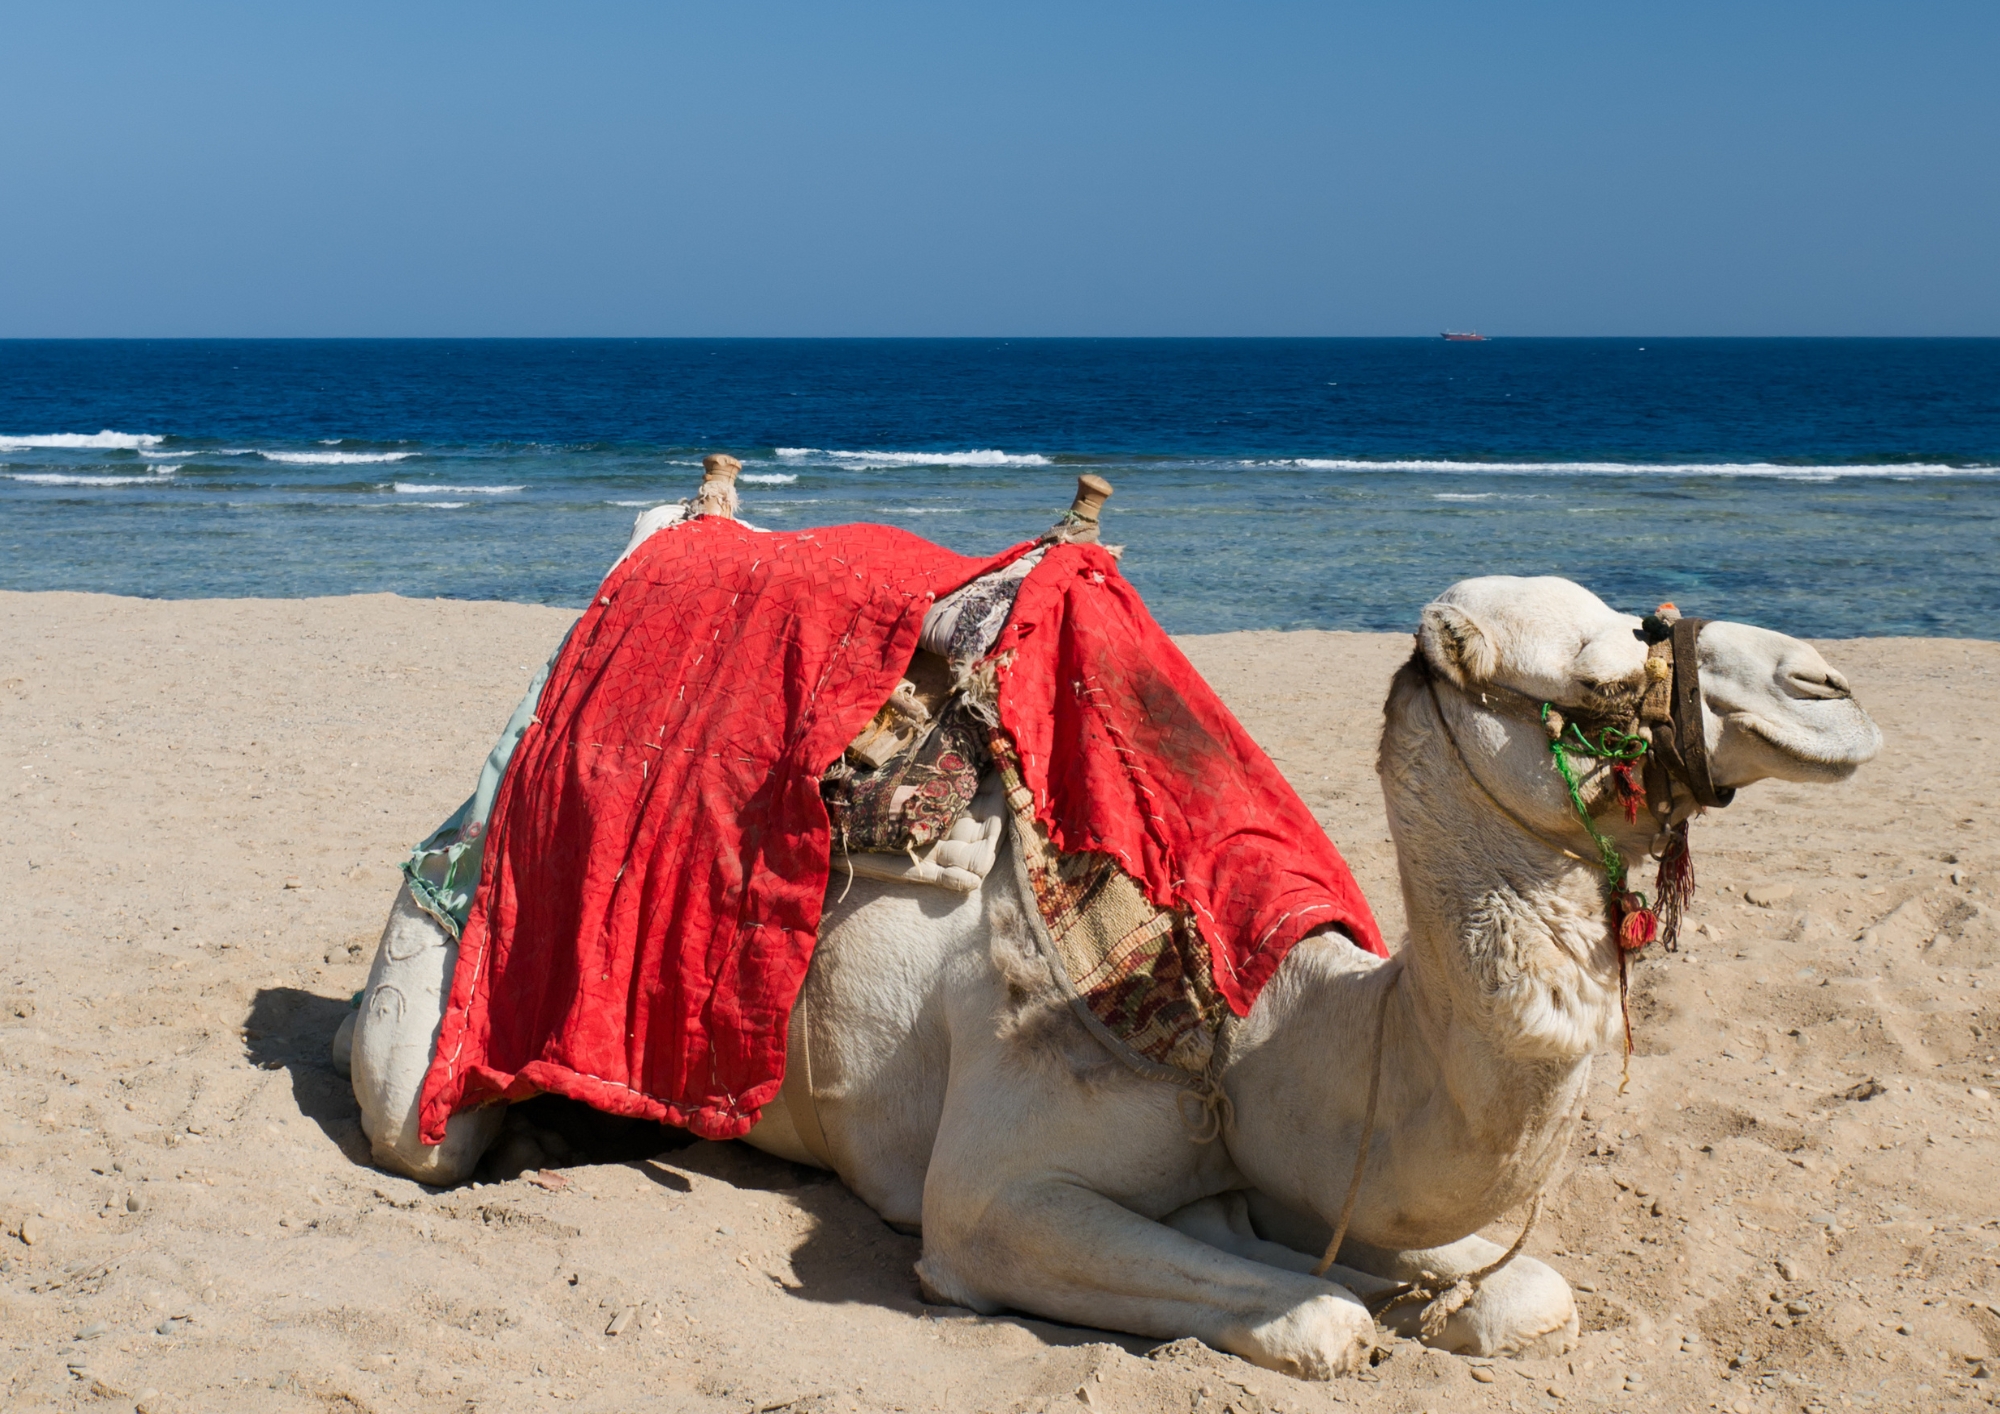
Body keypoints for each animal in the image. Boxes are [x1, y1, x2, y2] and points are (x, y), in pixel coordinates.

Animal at [343, 563, 1879, 1380]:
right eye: (1605, 668)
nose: (1830, 687)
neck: (1263, 1034)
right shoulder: (992, 1197)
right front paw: (1323, 1309)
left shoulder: (1308, 1166)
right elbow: (1316, 1315)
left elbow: (1519, 1290)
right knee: (415, 1115)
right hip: (442, 970)